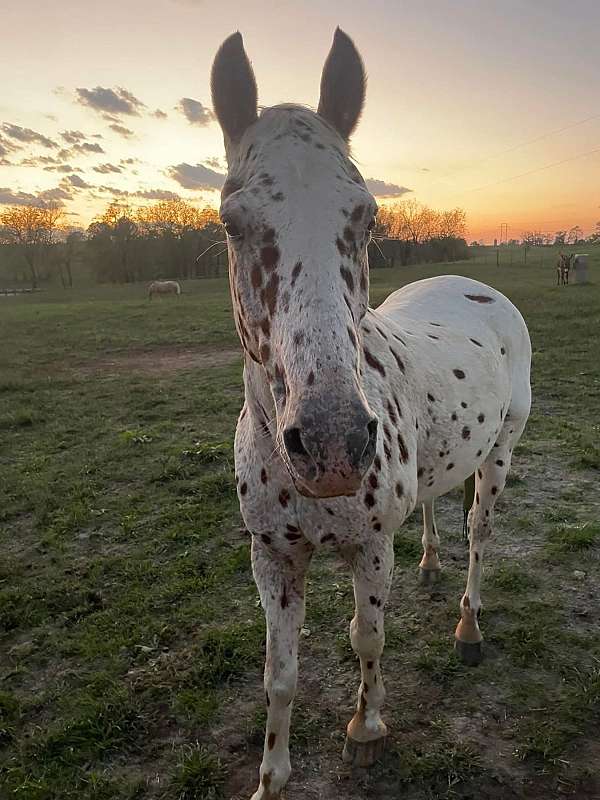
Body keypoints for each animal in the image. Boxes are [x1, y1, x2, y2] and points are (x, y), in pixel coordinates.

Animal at [211, 29, 528, 800]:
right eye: (231, 221)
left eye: (367, 216)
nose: (332, 445)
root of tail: (475, 286)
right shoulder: (273, 558)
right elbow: (280, 677)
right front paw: (271, 779)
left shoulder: (370, 547)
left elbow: (367, 637)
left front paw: (366, 729)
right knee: (438, 505)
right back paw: (432, 565)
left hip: (501, 452)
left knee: (480, 533)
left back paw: (469, 629)